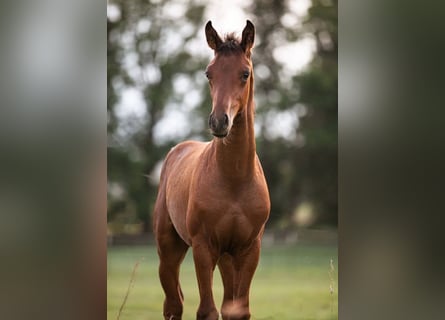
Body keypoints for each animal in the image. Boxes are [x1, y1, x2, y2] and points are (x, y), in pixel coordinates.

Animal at [153, 20, 270, 320]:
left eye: (245, 73)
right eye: (209, 73)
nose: (219, 122)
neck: (234, 180)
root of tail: (177, 150)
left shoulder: (249, 250)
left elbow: (238, 311)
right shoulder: (203, 247)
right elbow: (207, 311)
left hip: (228, 259)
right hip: (169, 250)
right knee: (173, 305)